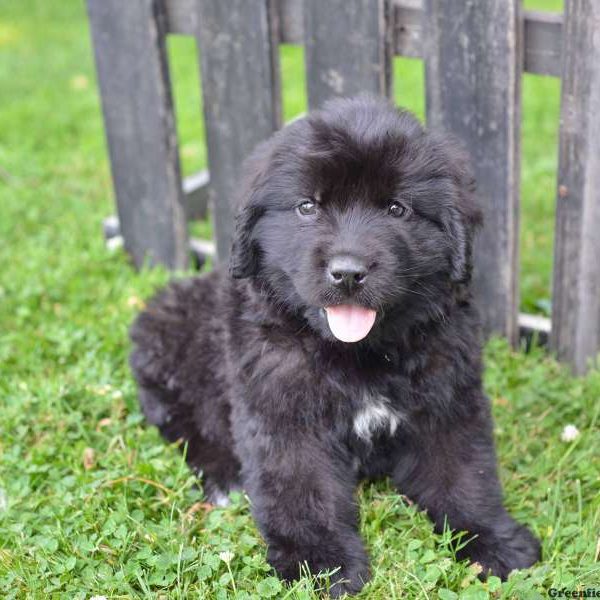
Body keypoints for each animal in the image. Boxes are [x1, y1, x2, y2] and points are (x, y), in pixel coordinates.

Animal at [130, 96, 540, 596]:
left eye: (397, 209)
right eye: (307, 206)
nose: (347, 272)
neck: (358, 354)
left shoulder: (447, 401)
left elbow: (464, 474)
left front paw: (493, 541)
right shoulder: (283, 417)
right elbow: (302, 491)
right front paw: (319, 563)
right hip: (163, 349)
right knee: (185, 424)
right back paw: (225, 477)